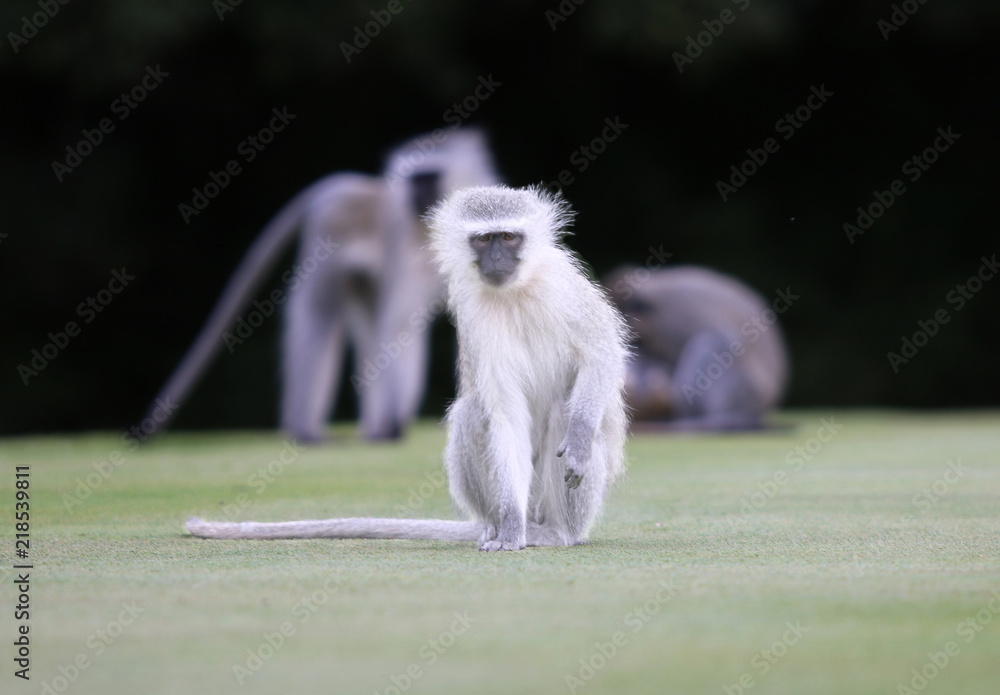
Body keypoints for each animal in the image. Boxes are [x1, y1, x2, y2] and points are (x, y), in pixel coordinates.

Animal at [145, 128, 498, 442]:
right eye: (416, 179)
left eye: (429, 177)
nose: (418, 197)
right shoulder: (401, 245)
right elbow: (400, 327)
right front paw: (396, 425)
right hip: (325, 241)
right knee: (320, 318)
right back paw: (312, 431)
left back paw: (369, 427)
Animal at [185, 185, 631, 550]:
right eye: (483, 239)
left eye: (508, 237)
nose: (497, 258)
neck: (516, 291)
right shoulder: (472, 313)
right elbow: (503, 411)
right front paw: (509, 525)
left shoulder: (564, 286)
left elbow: (601, 354)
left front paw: (578, 441)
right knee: (473, 414)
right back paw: (502, 525)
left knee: (561, 410)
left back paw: (556, 531)